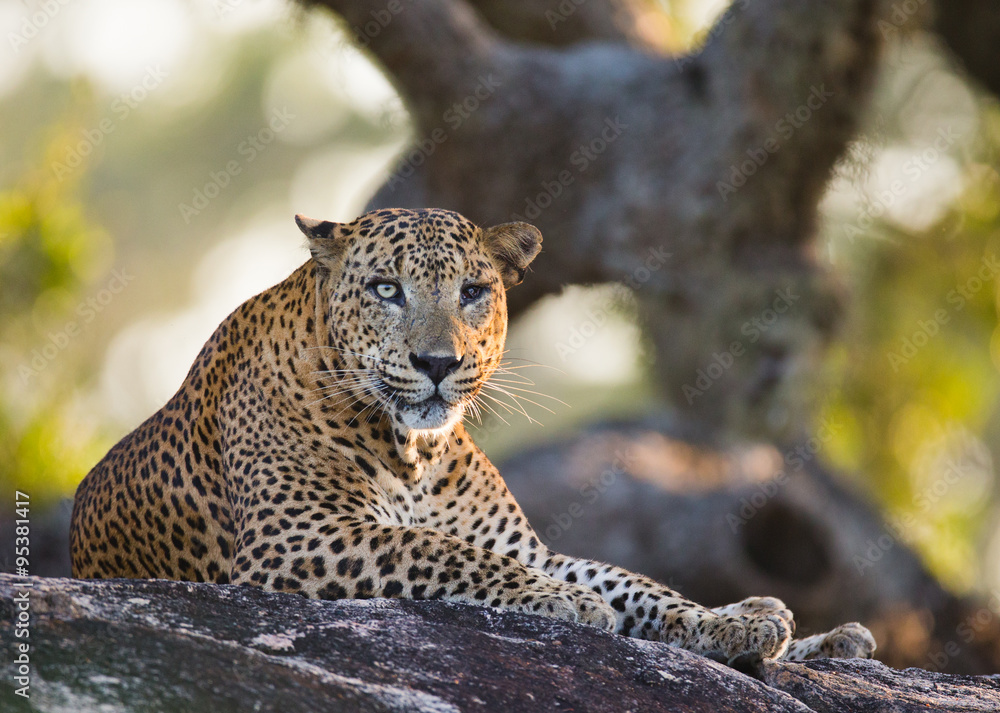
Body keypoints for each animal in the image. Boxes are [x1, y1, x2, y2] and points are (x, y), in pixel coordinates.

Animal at [70, 207, 875, 663]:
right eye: (386, 289)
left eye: (473, 291)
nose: (437, 364)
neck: (414, 452)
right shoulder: (295, 538)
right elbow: (437, 549)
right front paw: (572, 605)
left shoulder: (525, 545)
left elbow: (632, 581)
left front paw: (714, 624)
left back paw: (796, 628)